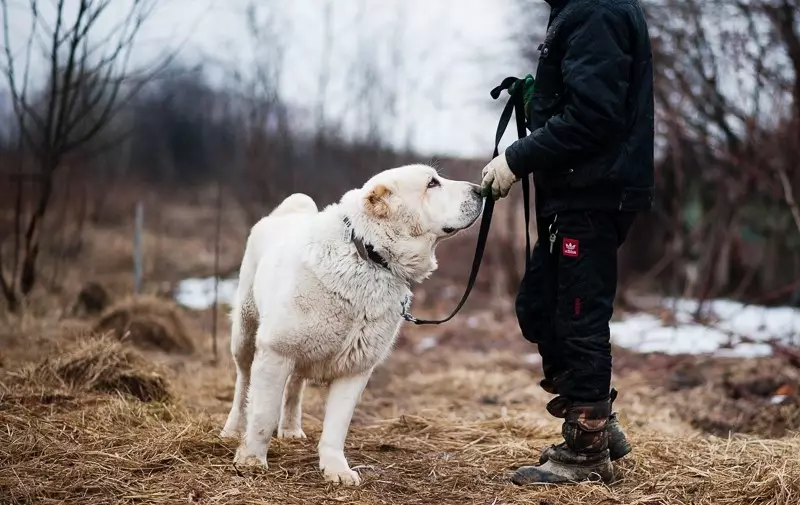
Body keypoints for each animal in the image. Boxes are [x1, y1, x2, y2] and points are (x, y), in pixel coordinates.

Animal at [220, 163, 482, 482]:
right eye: (432, 183)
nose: (480, 190)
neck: (368, 256)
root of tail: (281, 215)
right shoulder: (275, 351)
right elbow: (262, 414)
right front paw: (252, 460)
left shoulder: (357, 366)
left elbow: (336, 427)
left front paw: (336, 470)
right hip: (246, 333)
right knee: (243, 383)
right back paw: (233, 430)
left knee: (295, 384)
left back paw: (291, 429)